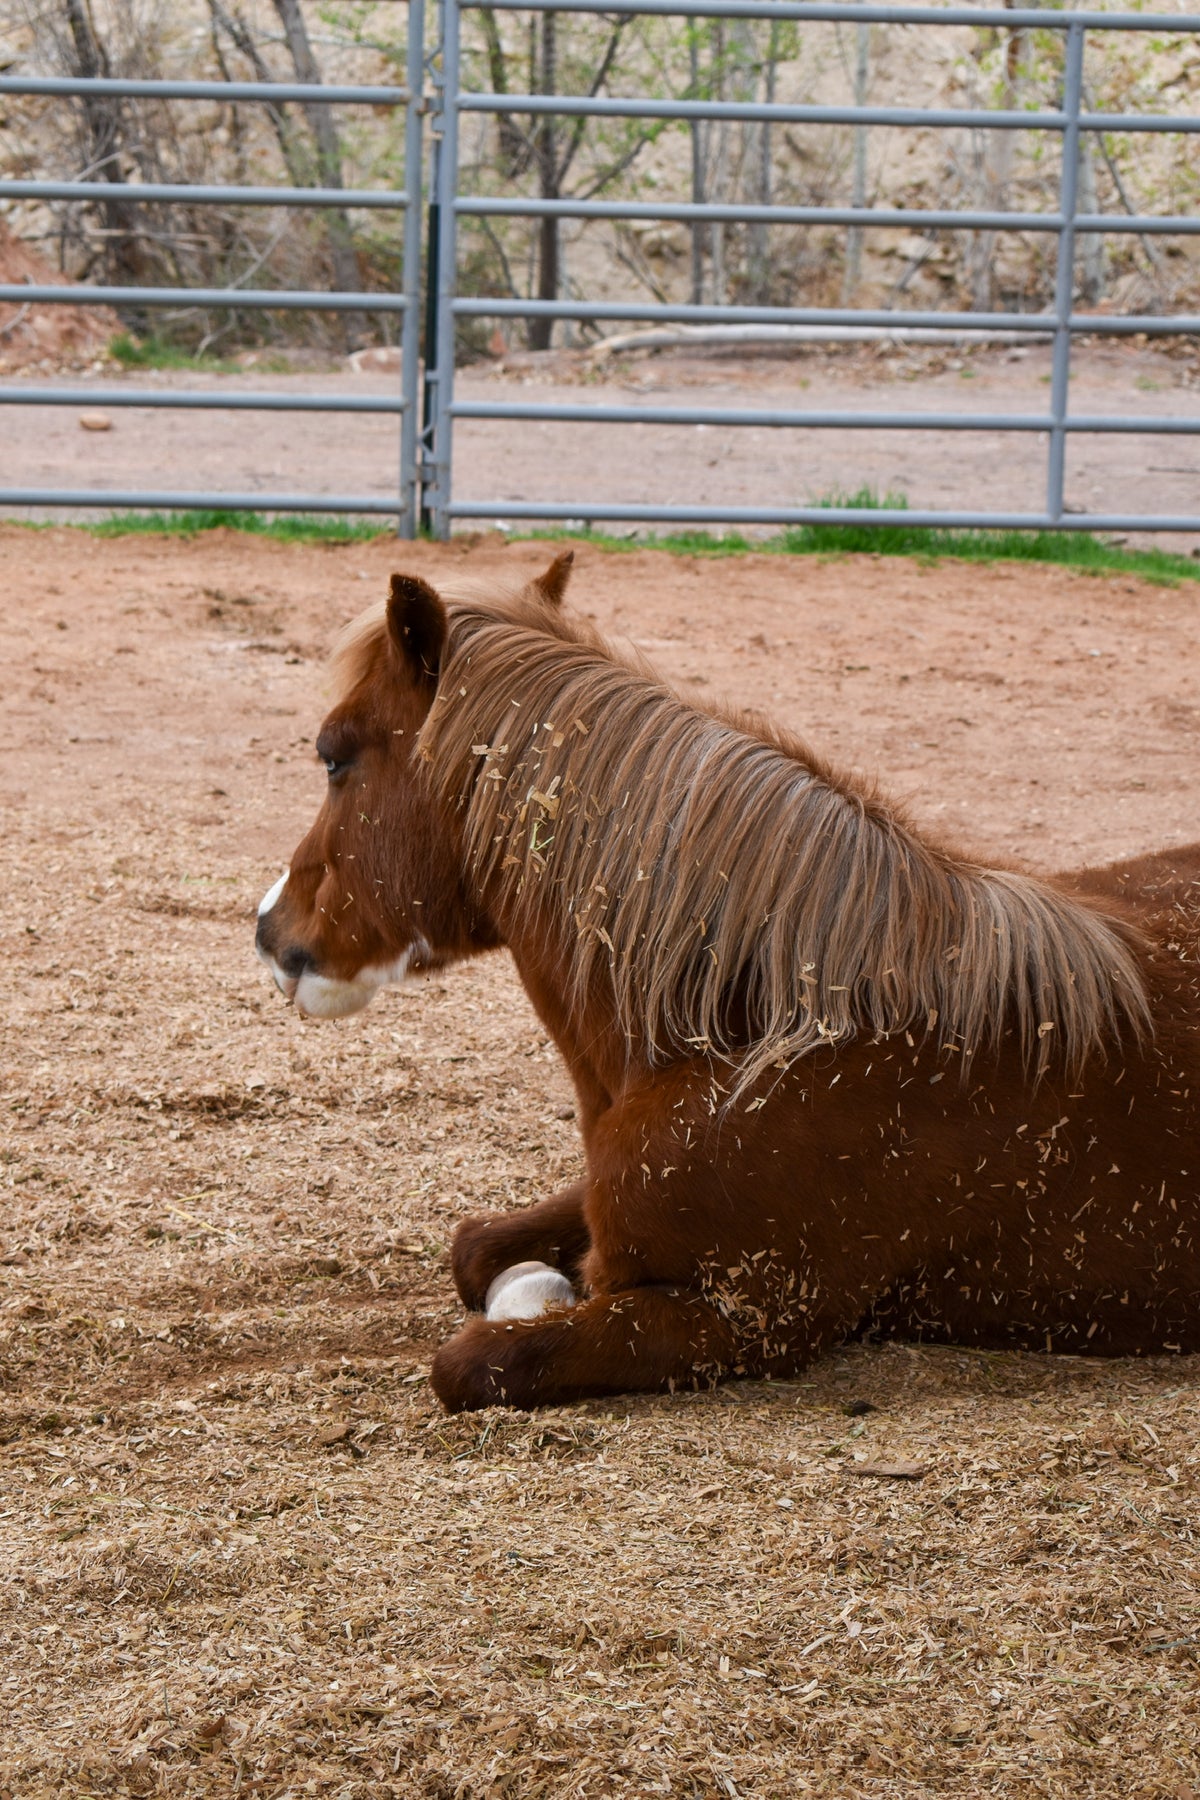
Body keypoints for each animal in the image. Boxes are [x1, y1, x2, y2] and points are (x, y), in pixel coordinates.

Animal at [256, 553, 1200, 1412]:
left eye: (334, 758)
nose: (271, 931)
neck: (761, 1032)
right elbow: (476, 1248)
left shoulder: (749, 1319)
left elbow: (470, 1361)